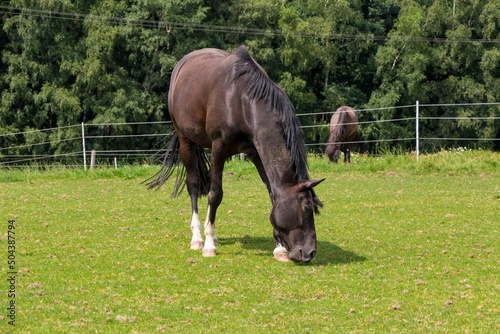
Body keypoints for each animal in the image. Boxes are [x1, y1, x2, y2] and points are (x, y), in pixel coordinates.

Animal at [145, 45, 324, 264]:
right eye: (307, 208)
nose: (310, 252)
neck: (241, 100)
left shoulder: (256, 153)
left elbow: (272, 194)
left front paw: (280, 248)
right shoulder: (219, 147)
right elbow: (215, 194)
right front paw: (209, 246)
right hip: (185, 139)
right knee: (193, 184)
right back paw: (198, 238)